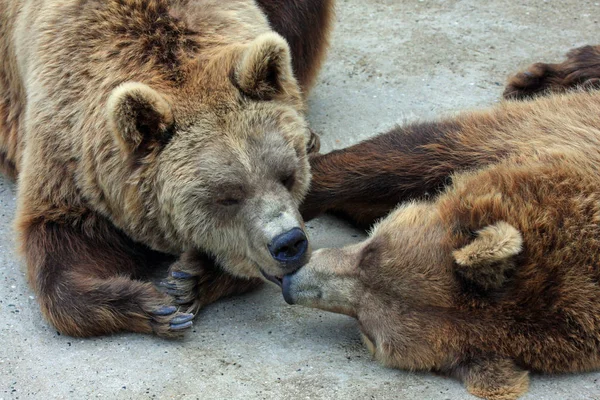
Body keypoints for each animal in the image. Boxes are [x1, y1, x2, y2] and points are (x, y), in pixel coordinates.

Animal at [0, 0, 336, 338]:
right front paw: (153, 307)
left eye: (287, 176)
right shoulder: (67, 155)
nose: (288, 243)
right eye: (227, 197)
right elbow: (60, 236)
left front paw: (190, 279)